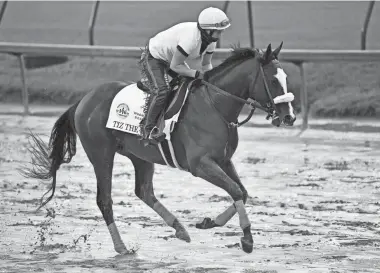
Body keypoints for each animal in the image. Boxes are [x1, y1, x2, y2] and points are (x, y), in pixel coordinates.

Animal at [21, 42, 296, 253]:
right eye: (274, 80)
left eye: (286, 78)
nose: (290, 117)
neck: (215, 105)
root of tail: (83, 101)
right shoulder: (200, 164)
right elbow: (236, 191)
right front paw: (247, 240)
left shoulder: (223, 160)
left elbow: (242, 192)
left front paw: (209, 222)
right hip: (101, 154)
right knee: (105, 200)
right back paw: (121, 247)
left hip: (140, 156)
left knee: (144, 191)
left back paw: (180, 229)